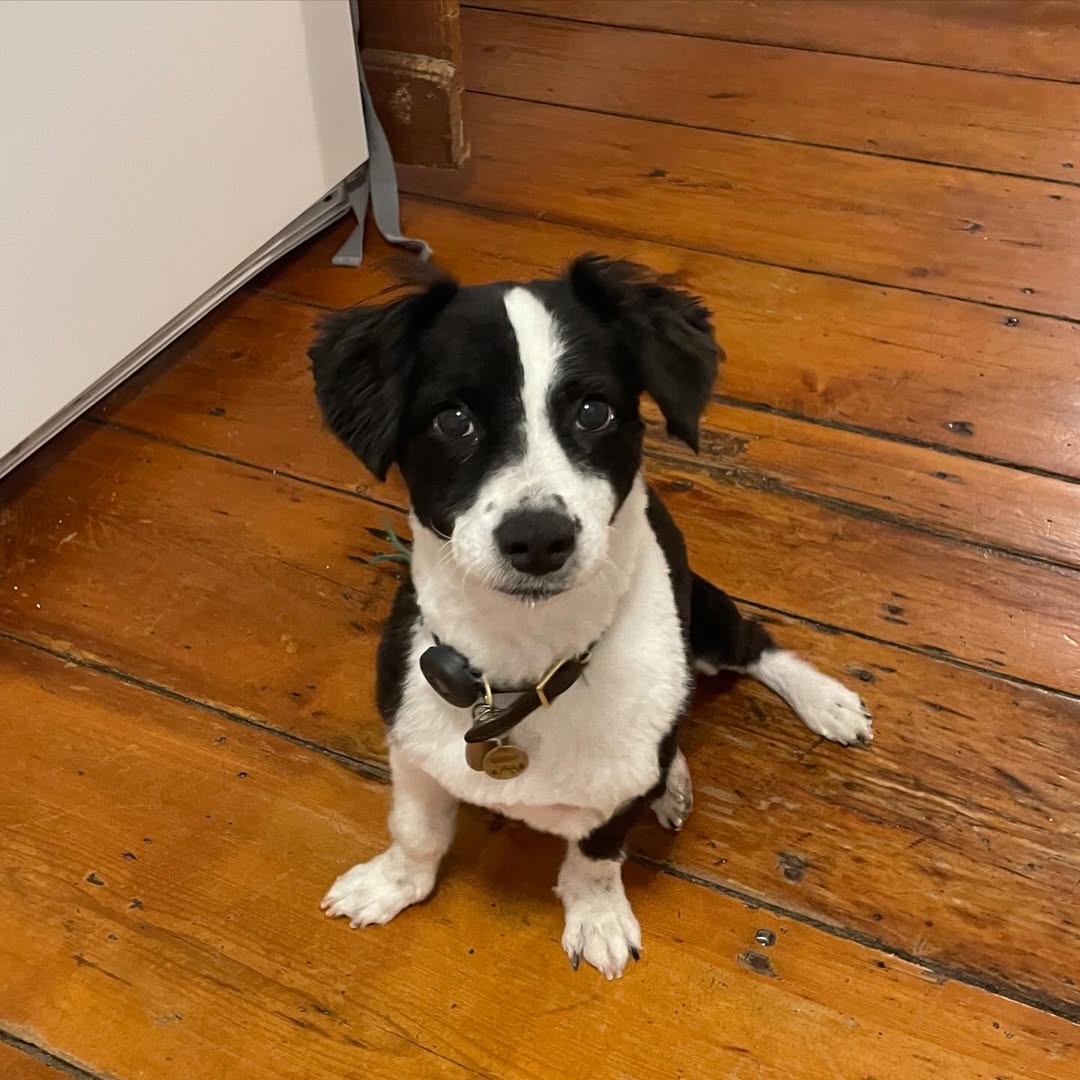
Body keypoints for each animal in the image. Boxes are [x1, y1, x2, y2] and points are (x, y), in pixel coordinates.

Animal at [309, 255, 872, 979]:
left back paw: (823, 703)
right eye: (453, 420)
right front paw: (391, 883)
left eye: (593, 411)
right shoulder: (412, 744)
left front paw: (598, 919)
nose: (537, 539)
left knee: (752, 645)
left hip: (704, 615)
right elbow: (416, 831)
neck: (523, 668)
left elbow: (596, 858)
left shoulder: (611, 803)